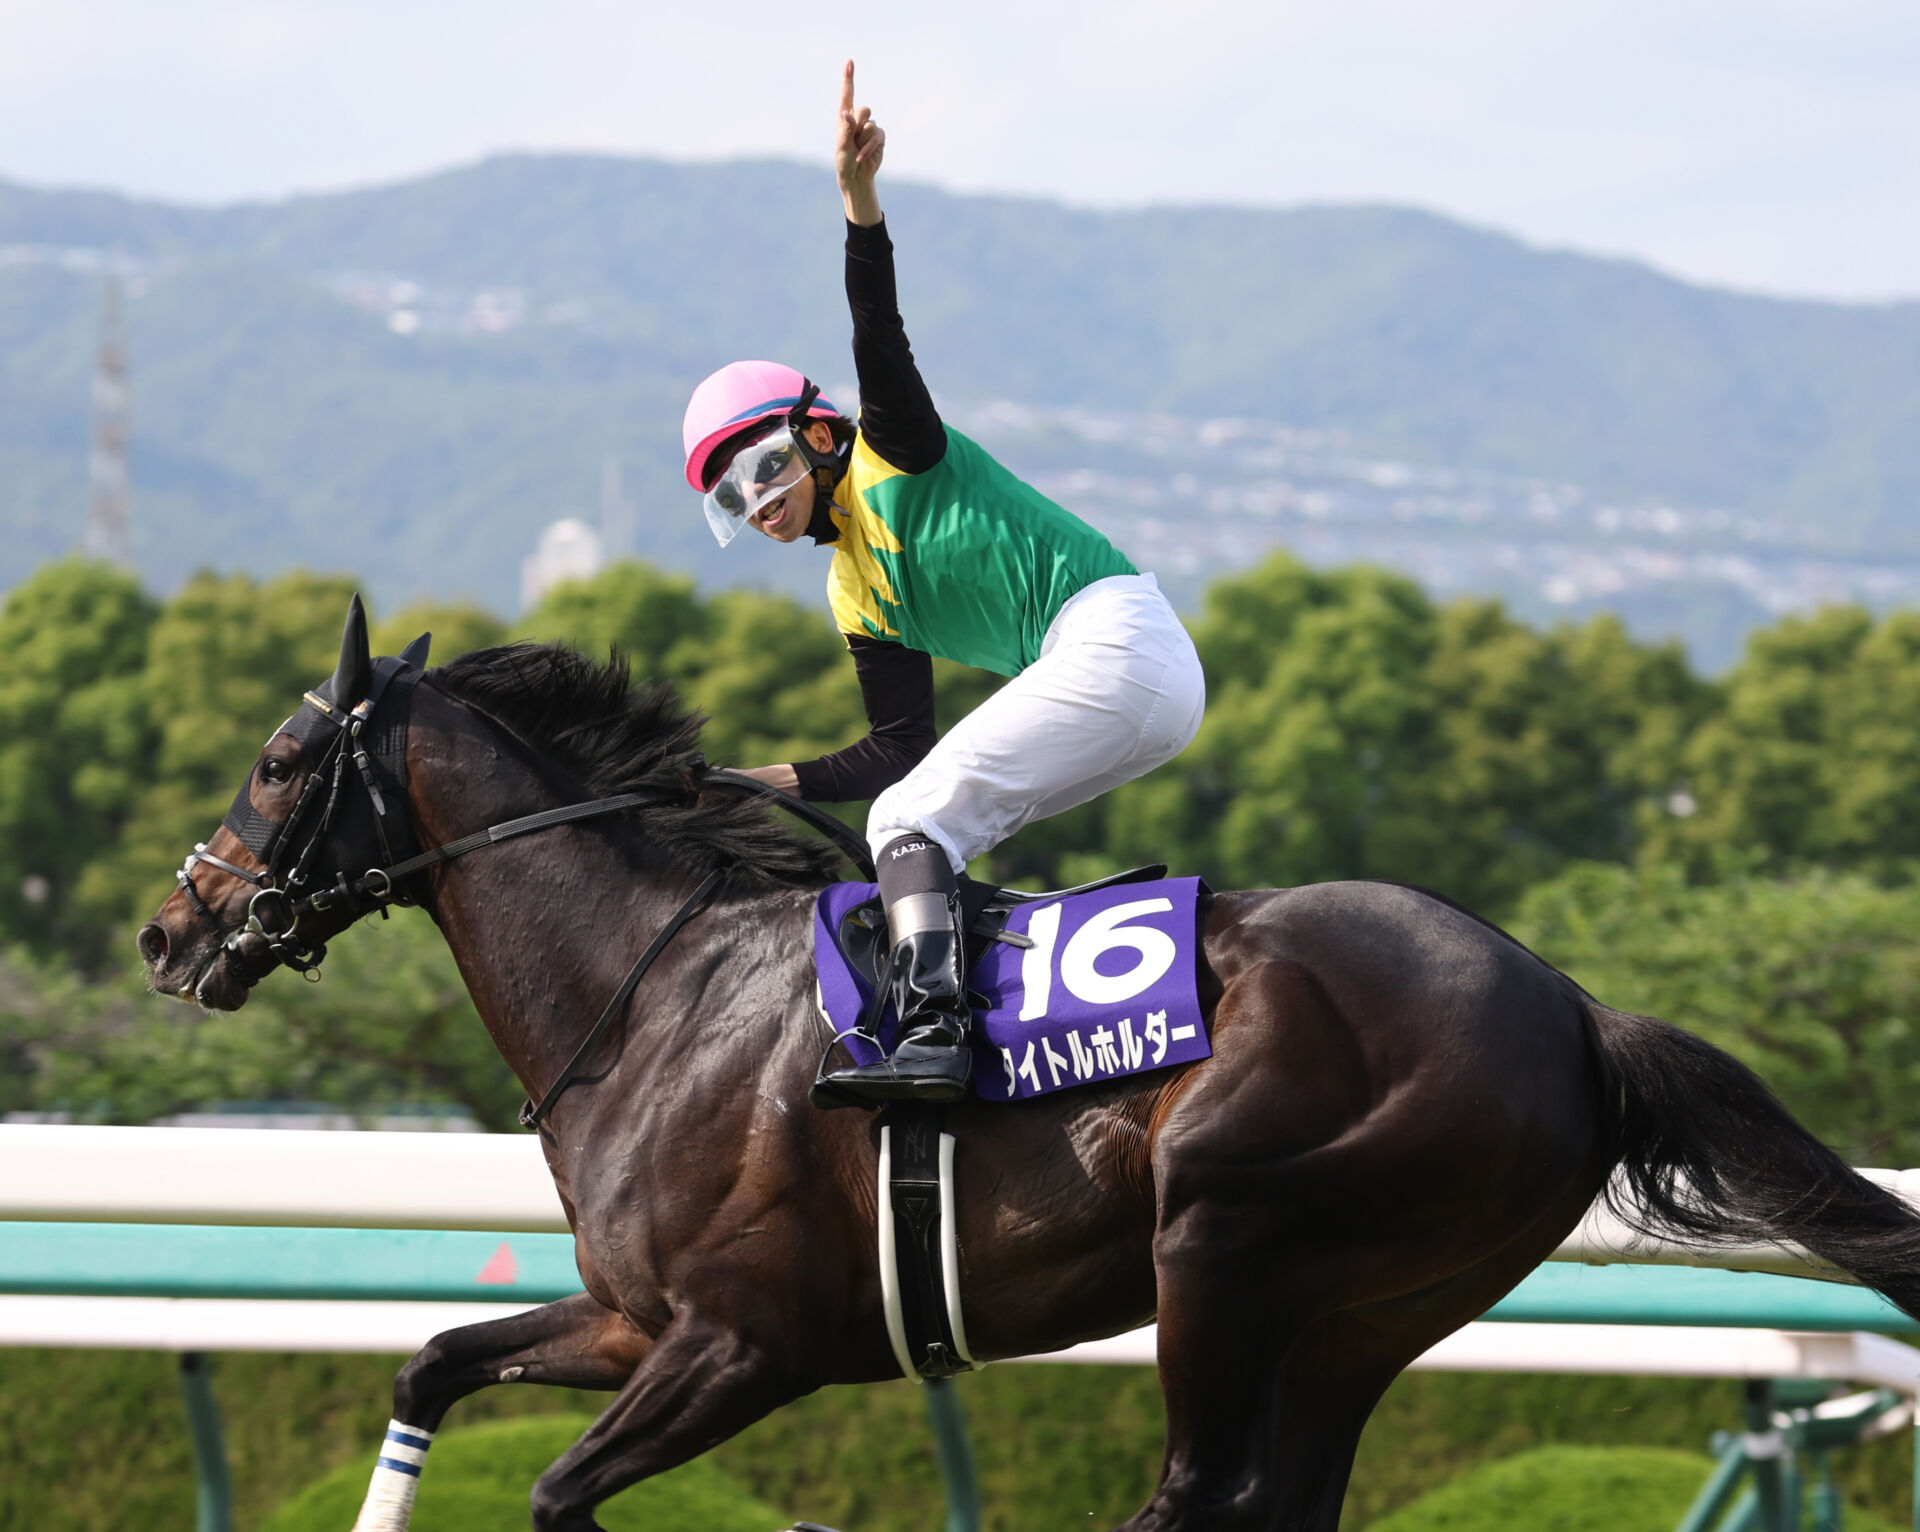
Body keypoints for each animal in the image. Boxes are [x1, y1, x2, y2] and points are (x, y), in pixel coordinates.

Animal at [135, 606, 1920, 1528]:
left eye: (282, 760)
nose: (171, 929)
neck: (657, 995)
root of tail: (1566, 1003)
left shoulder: (746, 1344)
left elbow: (559, 1494)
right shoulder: (639, 1320)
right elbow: (434, 1366)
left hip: (1226, 1238)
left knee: (1194, 1497)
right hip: (1372, 1311)